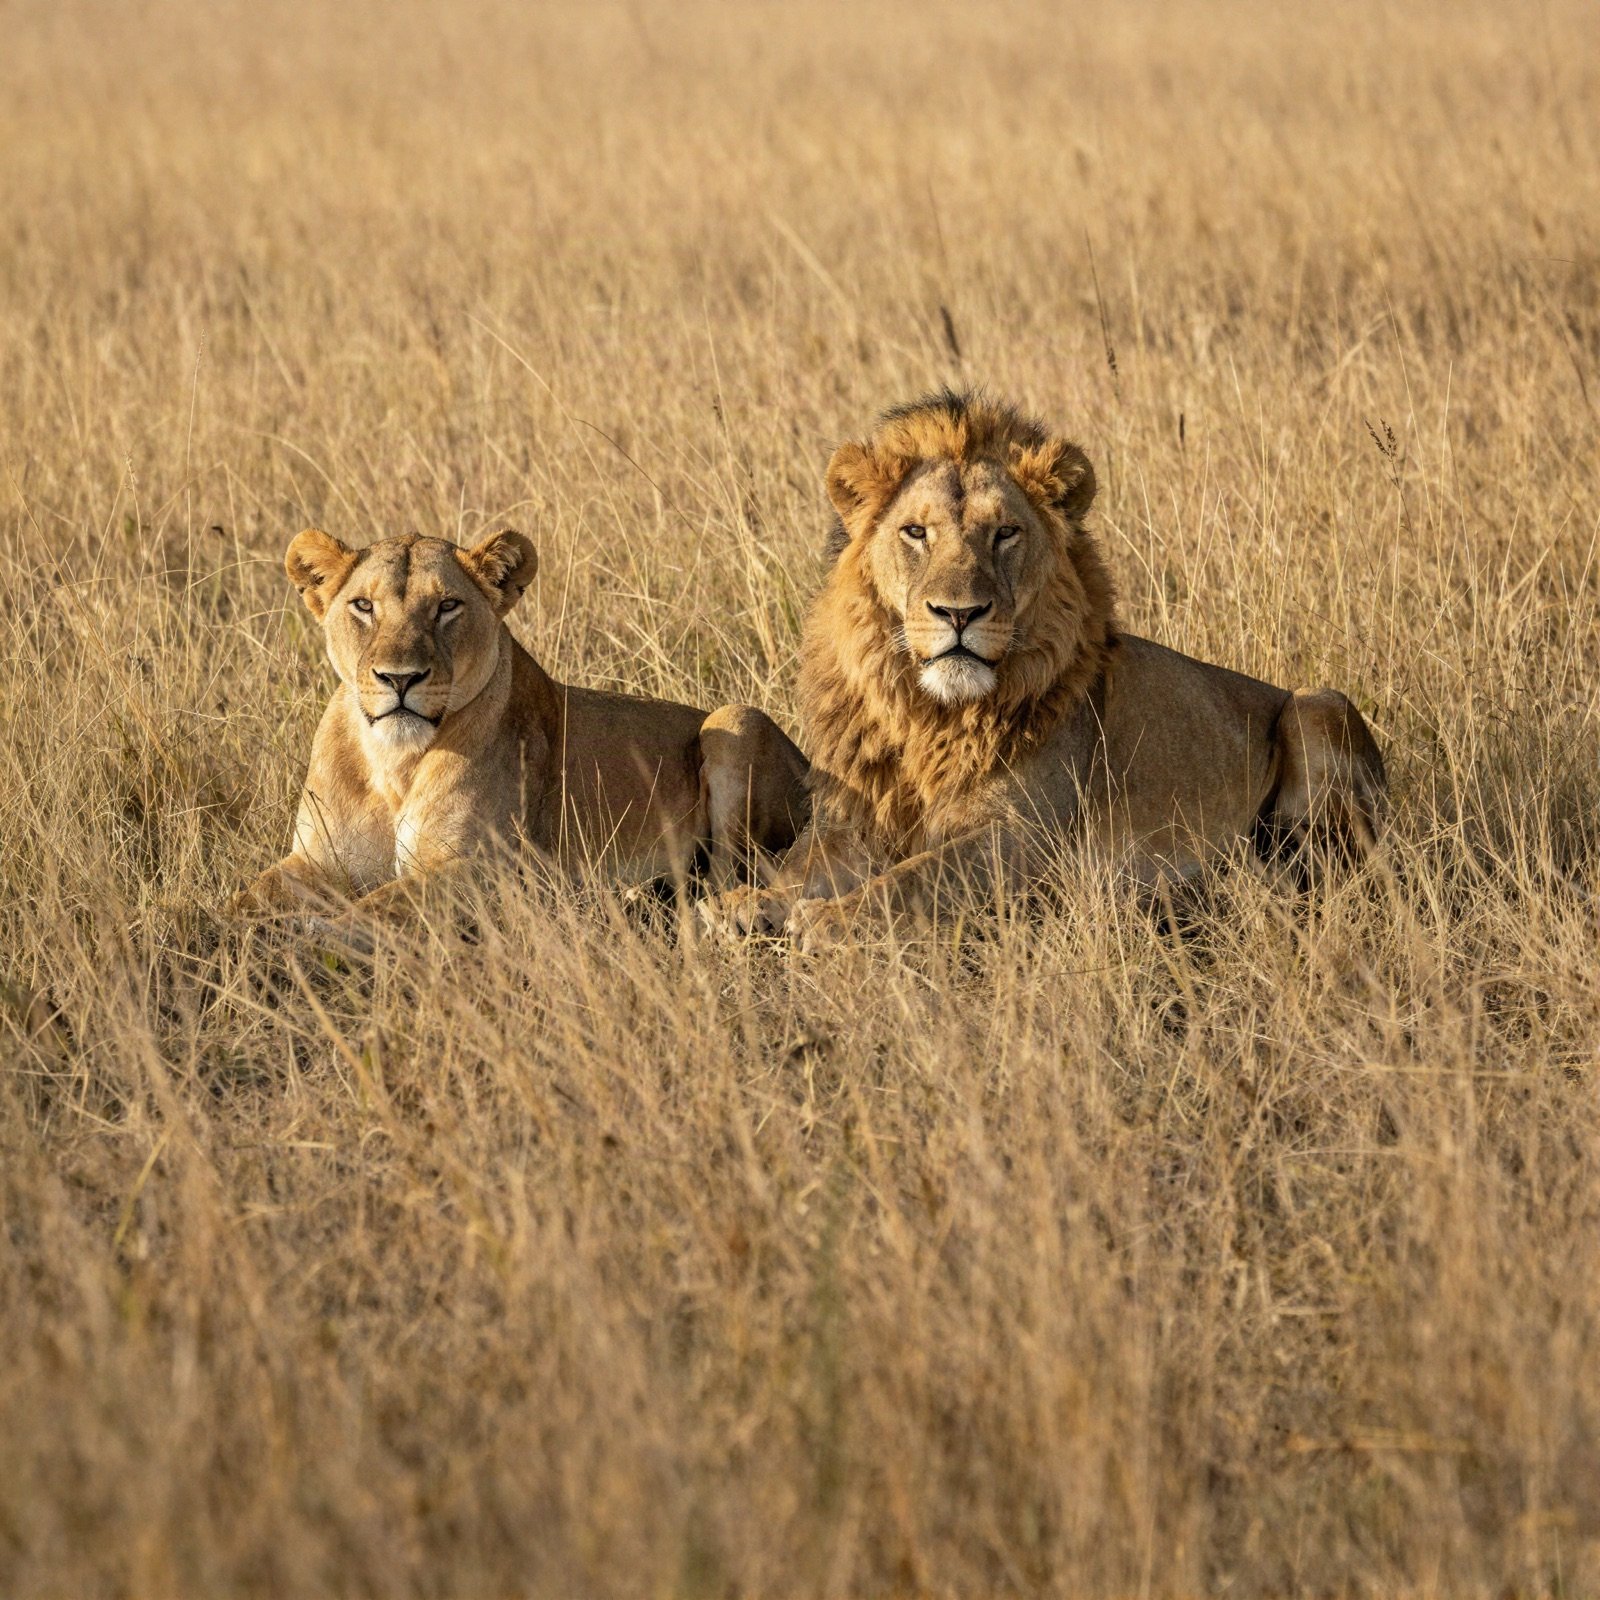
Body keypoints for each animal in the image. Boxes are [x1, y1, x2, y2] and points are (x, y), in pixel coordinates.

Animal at [233, 528, 809, 922]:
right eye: (362, 605)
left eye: (447, 605)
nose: (400, 678)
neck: (393, 762)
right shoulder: (316, 861)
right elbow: (246, 898)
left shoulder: (471, 871)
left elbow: (367, 910)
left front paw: (302, 935)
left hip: (734, 720)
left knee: (723, 880)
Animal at [704, 390, 1386, 948]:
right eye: (916, 532)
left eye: (1005, 532)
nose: (959, 613)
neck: (931, 718)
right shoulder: (853, 819)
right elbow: (802, 863)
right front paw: (750, 903)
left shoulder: (1025, 840)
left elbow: (914, 876)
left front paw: (831, 918)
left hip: (1316, 706)